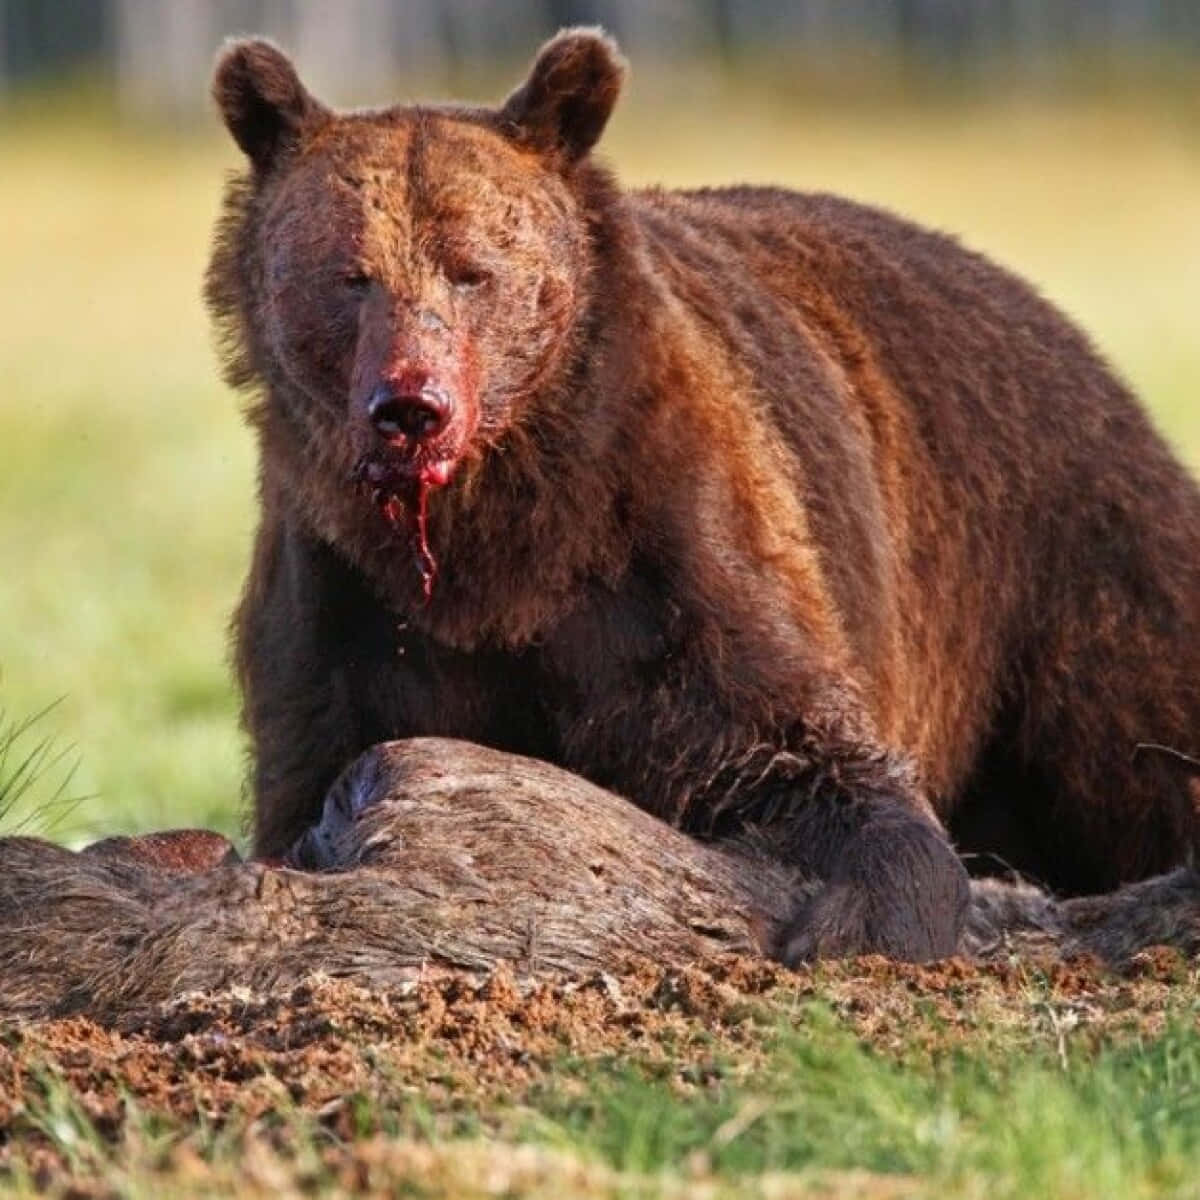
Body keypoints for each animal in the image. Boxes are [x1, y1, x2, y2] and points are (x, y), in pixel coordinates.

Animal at [205, 29, 1200, 963]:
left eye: (471, 267)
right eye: (350, 275)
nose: (411, 407)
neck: (496, 539)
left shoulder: (663, 554)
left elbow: (798, 749)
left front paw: (852, 918)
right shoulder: (342, 608)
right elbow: (317, 772)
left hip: (1057, 558)